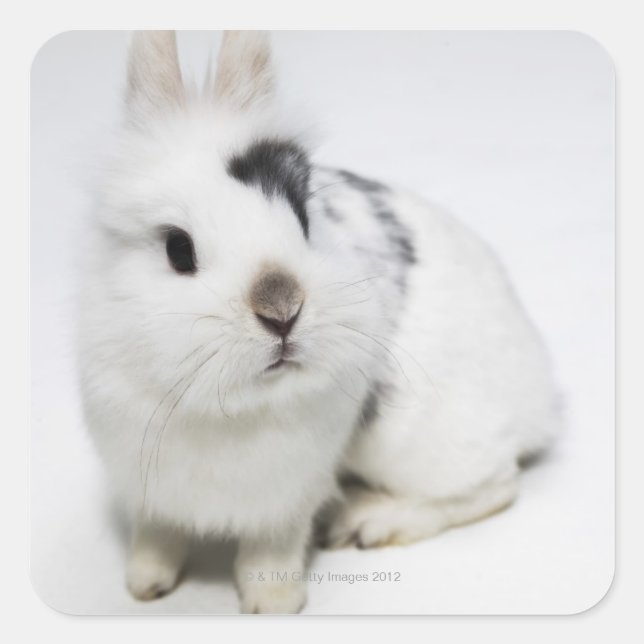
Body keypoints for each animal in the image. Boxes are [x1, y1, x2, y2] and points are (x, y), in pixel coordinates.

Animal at [77, 30, 559, 614]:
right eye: (178, 249)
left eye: (303, 219)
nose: (282, 310)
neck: (227, 407)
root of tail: (541, 396)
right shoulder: (147, 483)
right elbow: (156, 534)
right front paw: (144, 586)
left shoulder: (289, 492)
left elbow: (272, 548)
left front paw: (272, 604)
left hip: (417, 442)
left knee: (496, 485)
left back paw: (372, 520)